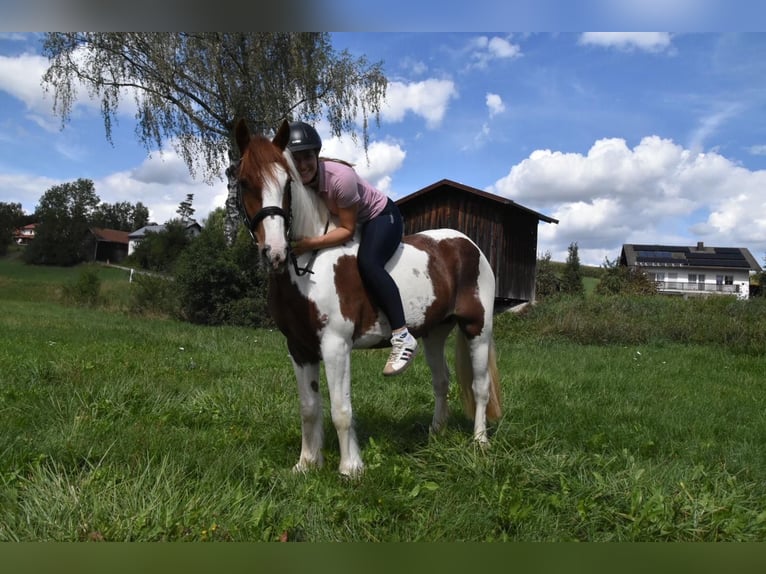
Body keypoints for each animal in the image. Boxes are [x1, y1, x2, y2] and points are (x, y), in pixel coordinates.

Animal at [234, 118, 502, 476]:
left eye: (287, 183)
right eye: (244, 182)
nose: (274, 252)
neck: (309, 267)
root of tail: (469, 245)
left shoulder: (335, 346)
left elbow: (341, 409)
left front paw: (350, 468)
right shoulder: (299, 348)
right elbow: (309, 408)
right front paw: (307, 464)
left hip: (477, 329)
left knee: (480, 387)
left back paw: (480, 442)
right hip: (434, 333)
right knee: (441, 382)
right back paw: (435, 434)